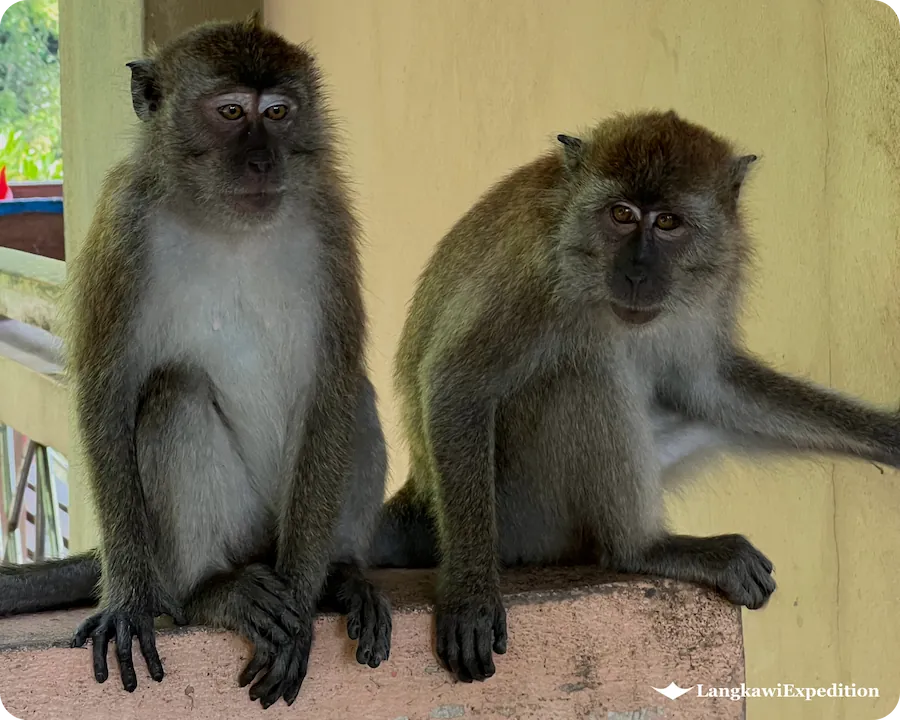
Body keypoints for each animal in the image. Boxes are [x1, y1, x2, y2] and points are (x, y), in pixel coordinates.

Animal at [0, 16, 391, 709]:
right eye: (231, 112)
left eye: (278, 113)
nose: (262, 160)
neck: (225, 223)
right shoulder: (124, 224)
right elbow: (107, 393)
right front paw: (129, 599)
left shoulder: (329, 220)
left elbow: (332, 384)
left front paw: (305, 600)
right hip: (215, 533)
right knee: (174, 391)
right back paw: (209, 590)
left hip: (277, 523)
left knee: (356, 396)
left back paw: (338, 577)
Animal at [371, 109, 900, 684]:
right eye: (621, 214)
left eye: (667, 222)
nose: (637, 270)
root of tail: (420, 498)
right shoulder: (536, 274)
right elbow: (459, 382)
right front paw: (470, 593)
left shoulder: (712, 283)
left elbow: (707, 387)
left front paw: (886, 435)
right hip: (519, 515)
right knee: (585, 371)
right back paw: (641, 548)